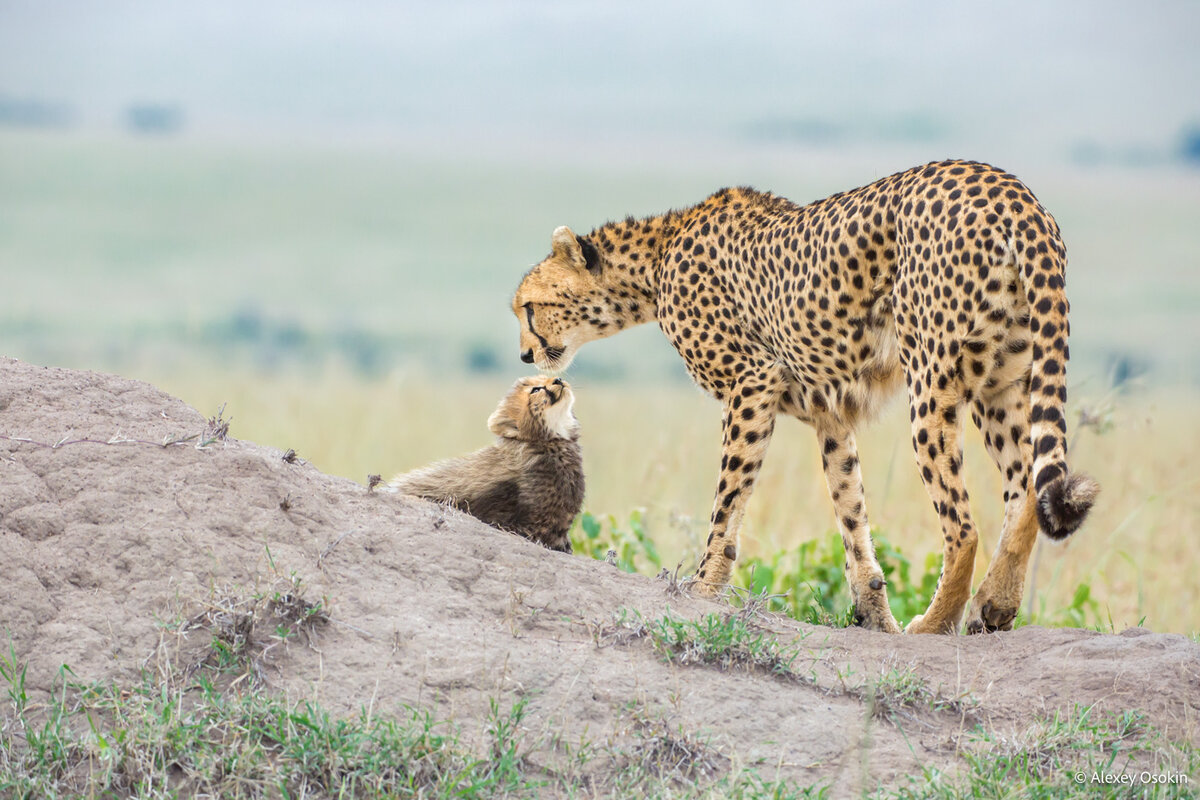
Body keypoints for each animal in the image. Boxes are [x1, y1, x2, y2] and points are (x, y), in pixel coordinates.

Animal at [506, 159, 1099, 633]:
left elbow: (728, 502)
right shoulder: (829, 415)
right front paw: (873, 613)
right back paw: (993, 608)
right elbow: (852, 515)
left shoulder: (752, 382)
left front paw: (701, 588)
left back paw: (935, 624)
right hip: (1004, 380)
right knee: (1025, 489)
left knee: (964, 526)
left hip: (932, 382)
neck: (655, 259)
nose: (525, 356)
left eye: (529, 308)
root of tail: (1009, 188)